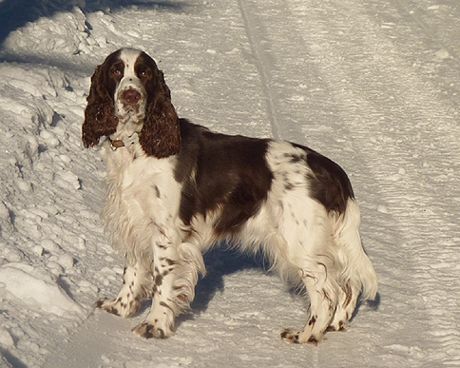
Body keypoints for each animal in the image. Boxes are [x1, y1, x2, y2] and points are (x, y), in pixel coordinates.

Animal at [82, 47, 378, 344]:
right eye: (116, 71)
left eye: (144, 72)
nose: (131, 96)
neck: (138, 144)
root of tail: (331, 170)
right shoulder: (134, 220)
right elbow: (132, 272)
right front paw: (119, 307)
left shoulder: (167, 233)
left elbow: (161, 281)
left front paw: (154, 326)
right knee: (349, 283)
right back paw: (335, 324)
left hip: (299, 242)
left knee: (328, 292)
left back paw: (305, 334)